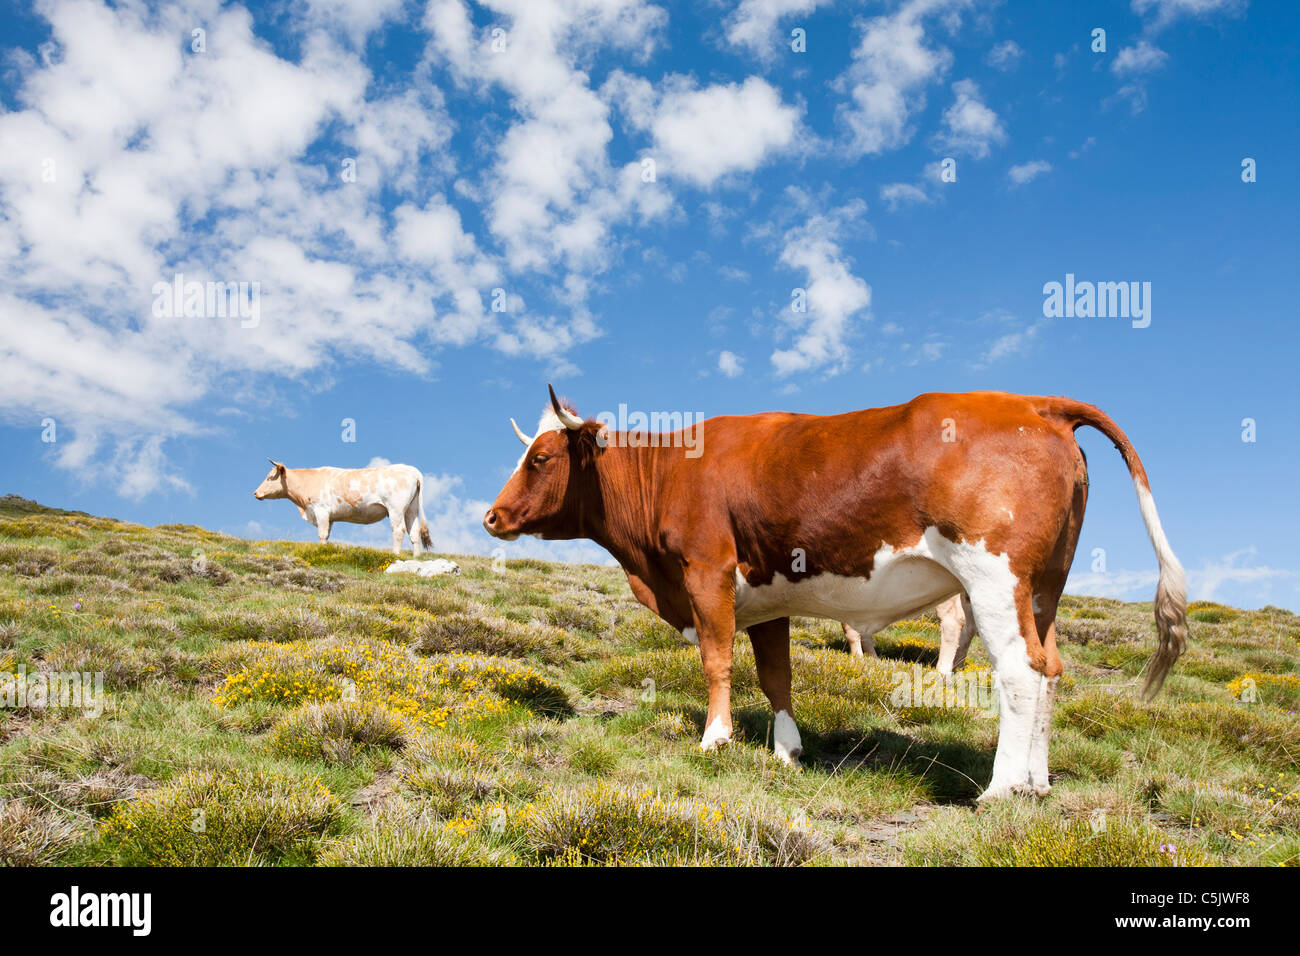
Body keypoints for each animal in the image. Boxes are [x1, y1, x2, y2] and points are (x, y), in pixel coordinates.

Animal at [253, 460, 432, 556]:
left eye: (270, 477)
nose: (255, 493)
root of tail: (413, 470)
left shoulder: (321, 510)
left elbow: (322, 534)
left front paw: (320, 551)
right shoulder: (330, 517)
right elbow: (326, 535)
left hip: (396, 508)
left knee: (399, 530)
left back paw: (395, 554)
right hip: (411, 509)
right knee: (414, 532)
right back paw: (416, 557)